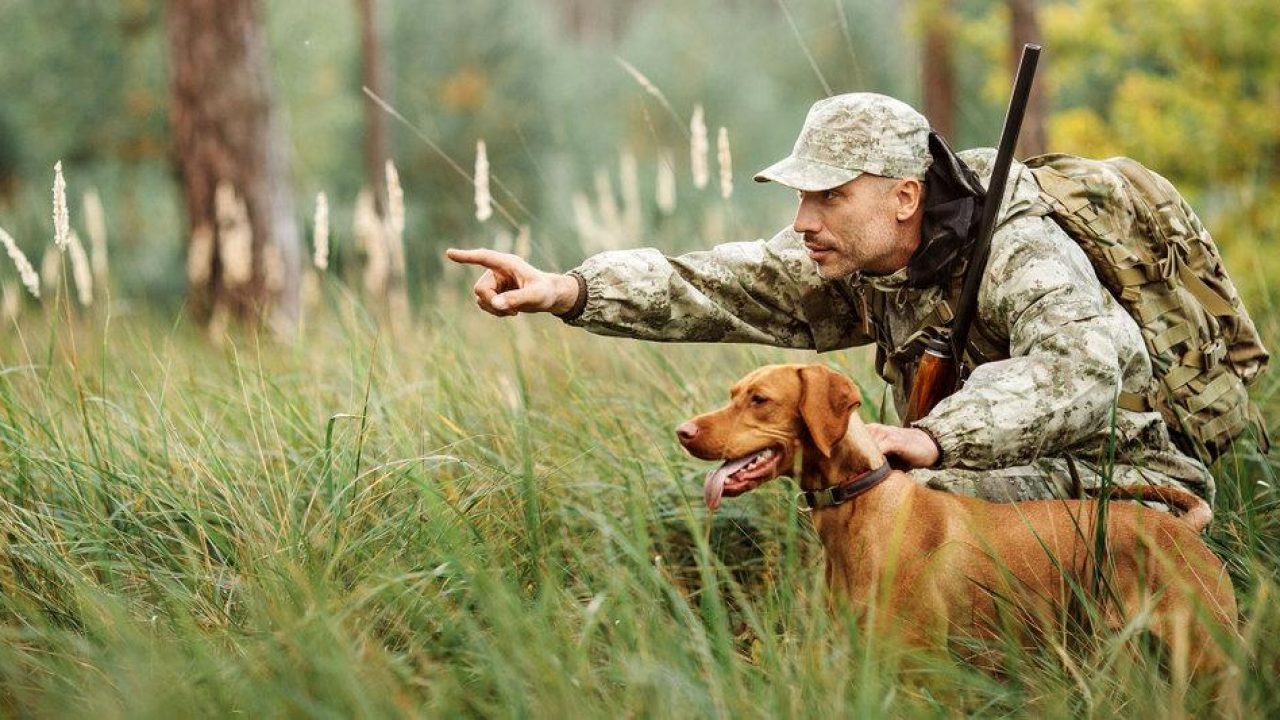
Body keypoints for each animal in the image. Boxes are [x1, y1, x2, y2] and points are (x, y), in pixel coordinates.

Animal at [675, 363, 1233, 671]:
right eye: (733, 394)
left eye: (760, 399)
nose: (683, 431)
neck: (862, 506)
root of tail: (1182, 527)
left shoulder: (920, 668)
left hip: (1207, 652)